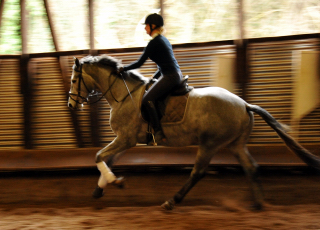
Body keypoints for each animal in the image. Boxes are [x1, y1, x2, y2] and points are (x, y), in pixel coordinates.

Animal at [67, 55, 320, 210]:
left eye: (74, 79)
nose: (71, 104)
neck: (123, 94)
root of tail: (244, 104)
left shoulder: (125, 138)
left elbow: (99, 156)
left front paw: (114, 182)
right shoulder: (127, 140)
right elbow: (108, 159)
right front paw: (100, 189)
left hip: (209, 144)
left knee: (198, 172)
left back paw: (172, 201)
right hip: (236, 144)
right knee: (251, 168)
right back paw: (257, 205)